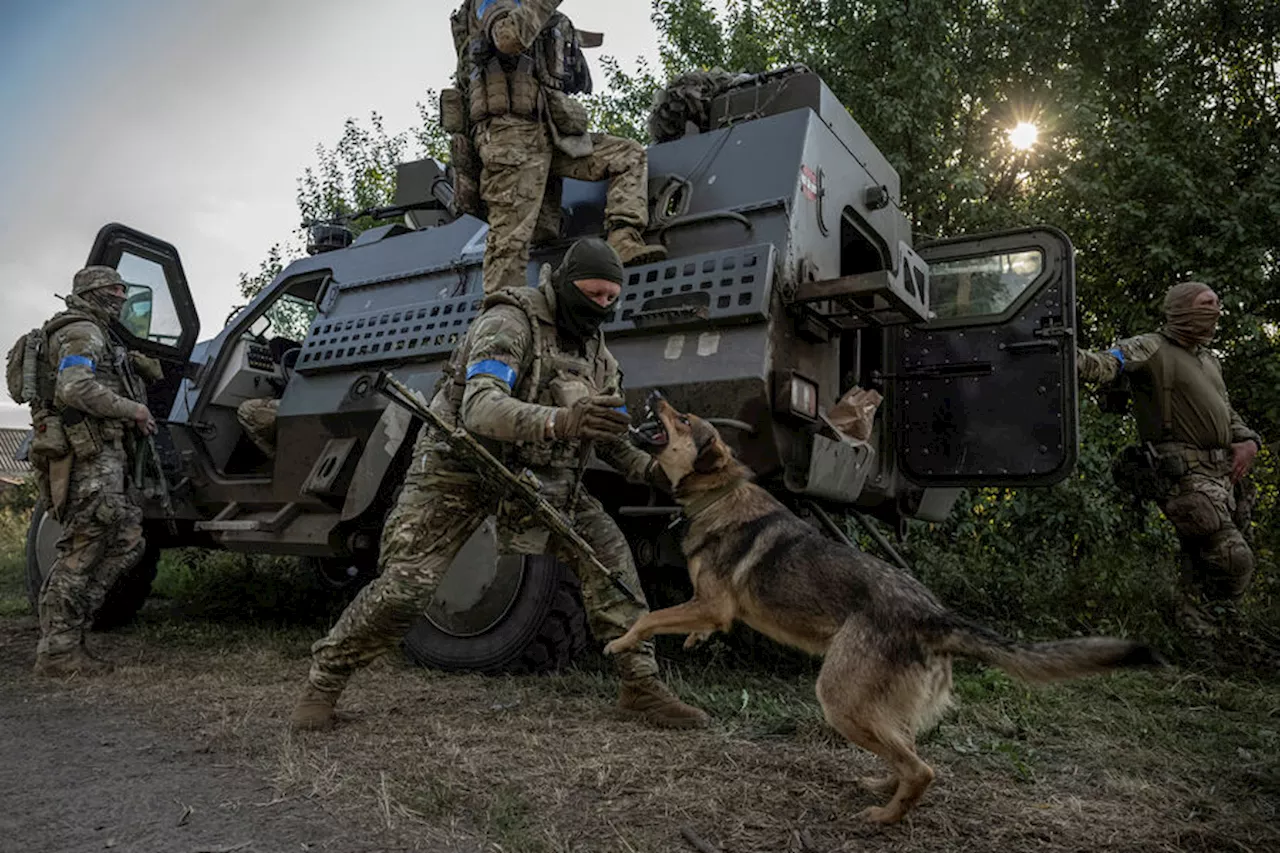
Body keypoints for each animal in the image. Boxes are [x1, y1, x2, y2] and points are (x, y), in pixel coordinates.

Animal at [604, 389, 1167, 819]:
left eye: (683, 420)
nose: (655, 394)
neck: (717, 496)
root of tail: (935, 615)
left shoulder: (712, 603)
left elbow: (650, 615)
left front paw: (619, 642)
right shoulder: (711, 606)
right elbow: (679, 620)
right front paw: (692, 639)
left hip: (839, 698)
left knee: (922, 768)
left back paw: (885, 816)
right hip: (873, 707)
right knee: (908, 751)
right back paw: (883, 788)